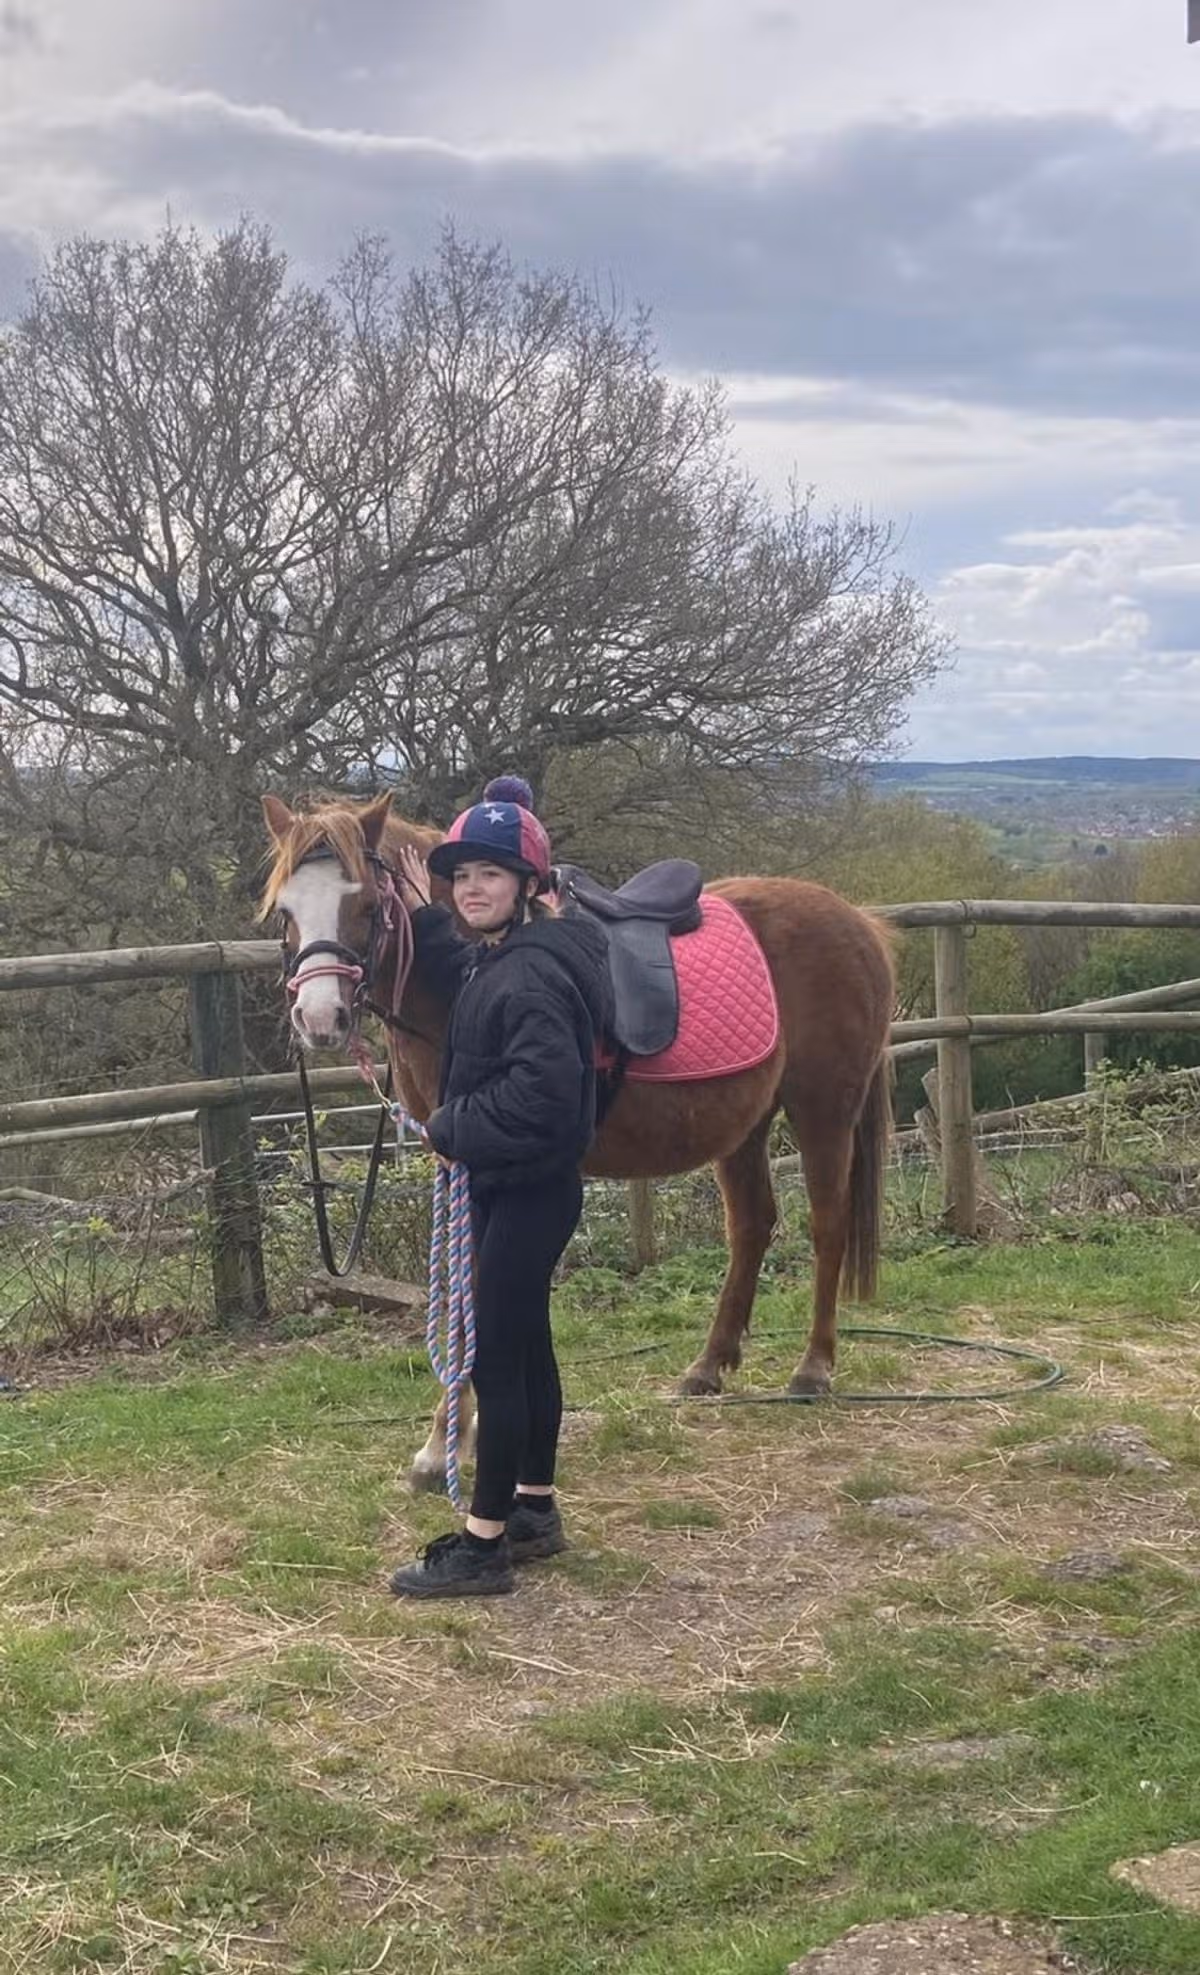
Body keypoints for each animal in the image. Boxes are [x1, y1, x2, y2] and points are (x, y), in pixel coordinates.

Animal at [261, 791, 895, 1491]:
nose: (319, 1019)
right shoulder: (454, 1160)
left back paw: (812, 1368)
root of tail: (858, 922)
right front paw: (442, 1444)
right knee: (752, 1226)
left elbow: (473, 1291)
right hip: (746, 1124)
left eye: (368, 906)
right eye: (286, 910)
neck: (466, 983)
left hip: (823, 1111)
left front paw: (451, 1444)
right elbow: (457, 1290)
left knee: (827, 1224)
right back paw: (707, 1367)